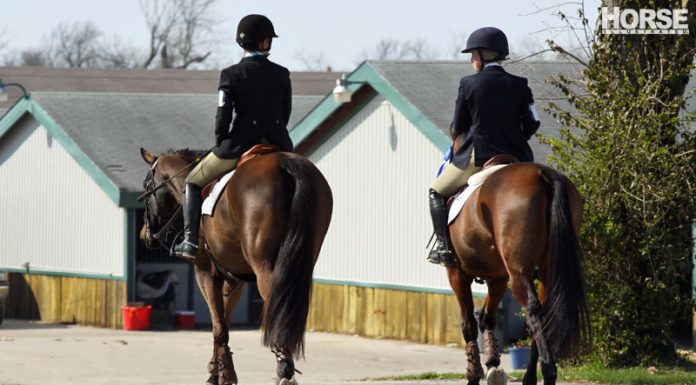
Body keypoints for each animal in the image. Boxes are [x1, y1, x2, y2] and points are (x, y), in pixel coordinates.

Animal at [139, 147, 334, 384]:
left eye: (146, 185)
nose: (145, 235)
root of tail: (286, 164)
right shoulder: (234, 279)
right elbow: (224, 322)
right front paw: (222, 370)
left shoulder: (205, 272)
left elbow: (217, 325)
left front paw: (217, 374)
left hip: (265, 266)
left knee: (277, 304)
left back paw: (284, 368)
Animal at [448, 153, 588, 384]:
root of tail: (543, 173)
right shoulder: (497, 277)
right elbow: (487, 317)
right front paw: (492, 365)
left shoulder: (458, 274)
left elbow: (468, 323)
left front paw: (475, 374)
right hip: (546, 271)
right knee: (544, 312)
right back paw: (531, 376)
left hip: (518, 272)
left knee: (532, 310)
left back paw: (548, 370)